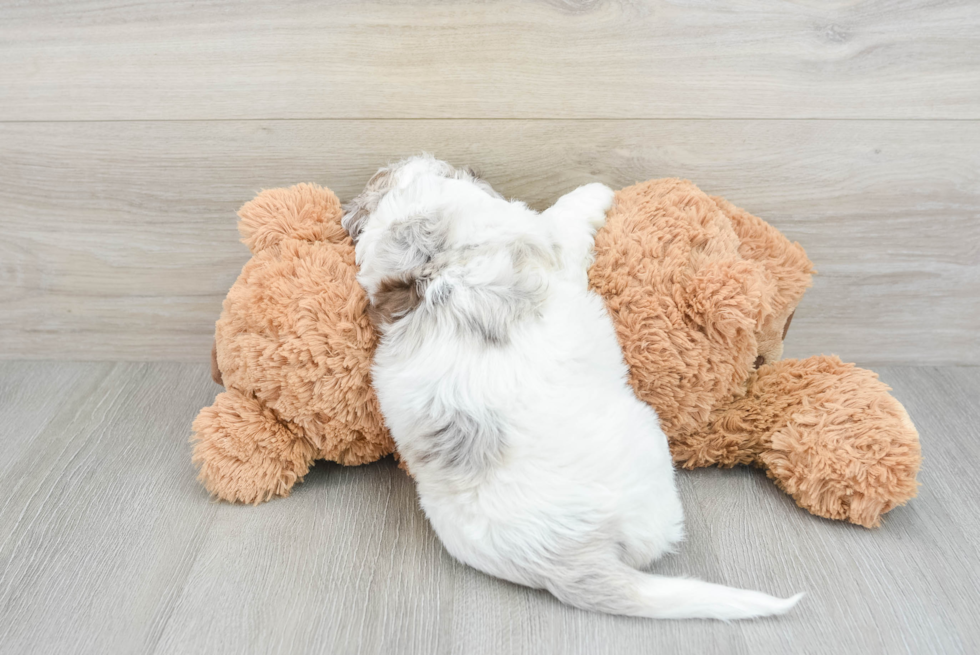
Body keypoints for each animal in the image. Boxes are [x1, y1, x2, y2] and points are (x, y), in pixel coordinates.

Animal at [344, 156, 804, 624]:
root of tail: (568, 560)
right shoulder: (546, 237)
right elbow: (565, 212)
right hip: (648, 446)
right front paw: (596, 190)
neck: (426, 244)